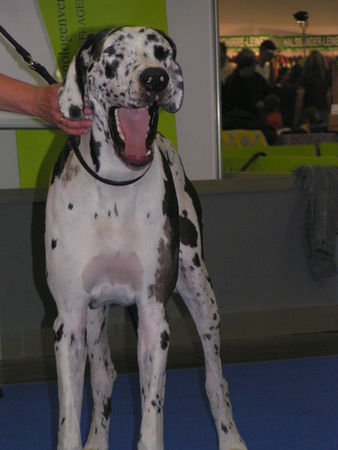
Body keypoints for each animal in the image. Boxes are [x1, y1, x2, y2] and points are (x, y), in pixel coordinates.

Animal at [45, 26, 246, 448]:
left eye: (162, 52)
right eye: (114, 55)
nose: (156, 79)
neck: (115, 189)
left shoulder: (154, 317)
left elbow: (152, 416)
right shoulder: (68, 320)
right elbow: (69, 415)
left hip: (201, 293)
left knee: (215, 379)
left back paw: (231, 439)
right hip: (92, 317)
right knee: (104, 374)